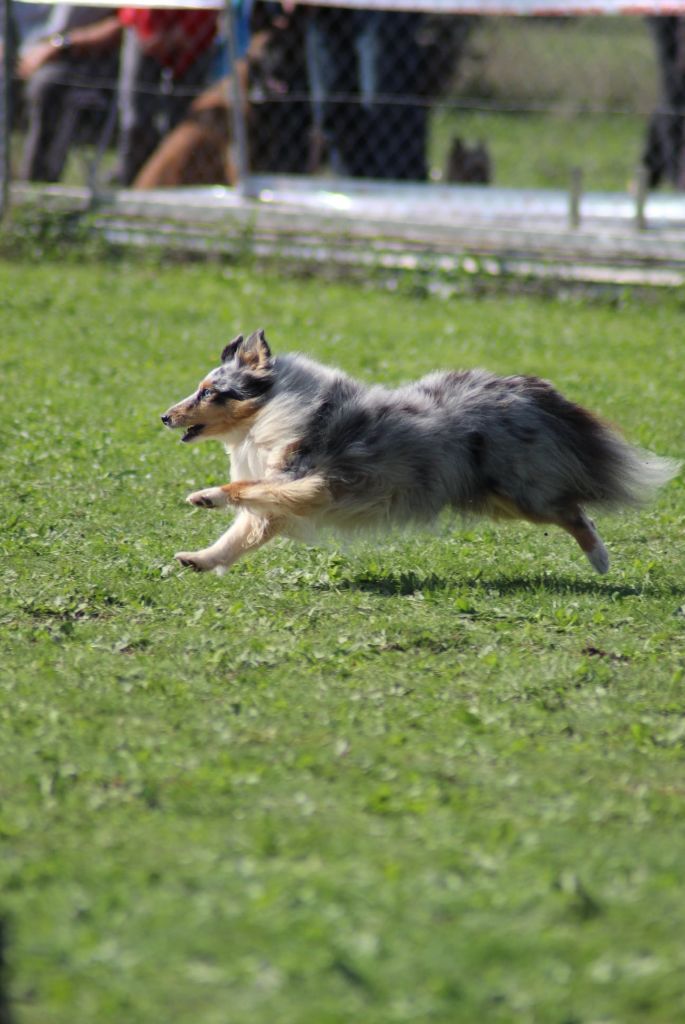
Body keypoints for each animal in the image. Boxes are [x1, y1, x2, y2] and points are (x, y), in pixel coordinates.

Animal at [161, 333, 679, 577]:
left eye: (209, 392)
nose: (164, 416)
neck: (268, 412)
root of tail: (530, 388)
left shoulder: (311, 480)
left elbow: (244, 487)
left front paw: (206, 496)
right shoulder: (285, 501)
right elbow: (240, 534)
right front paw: (198, 560)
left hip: (522, 493)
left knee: (575, 512)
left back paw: (601, 561)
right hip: (495, 498)